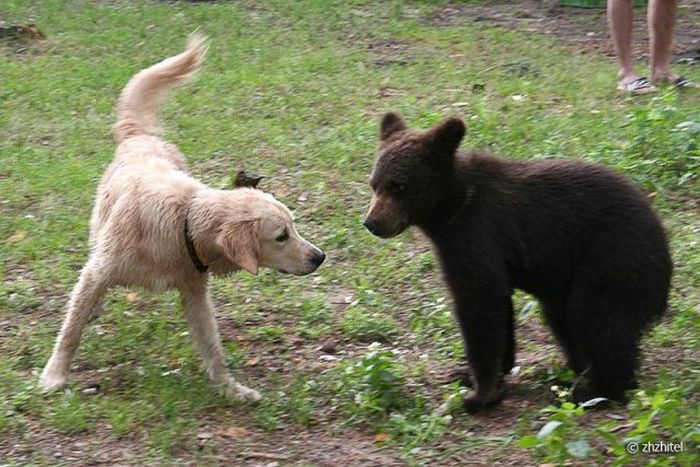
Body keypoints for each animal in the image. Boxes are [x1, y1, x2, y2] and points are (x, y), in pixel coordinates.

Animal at [42, 36, 326, 402]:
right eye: (281, 236)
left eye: (293, 227)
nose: (320, 257)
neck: (183, 223)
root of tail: (140, 135)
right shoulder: (99, 271)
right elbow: (70, 332)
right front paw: (54, 375)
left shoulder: (195, 294)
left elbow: (212, 346)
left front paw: (230, 387)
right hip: (98, 239)